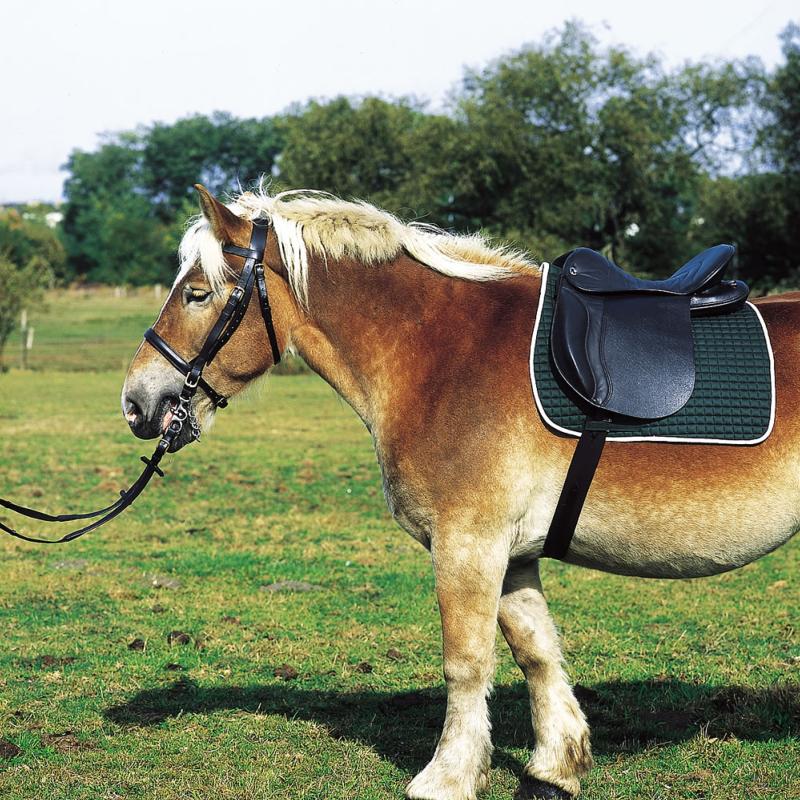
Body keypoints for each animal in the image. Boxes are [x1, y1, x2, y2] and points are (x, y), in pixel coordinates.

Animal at [121, 184, 799, 800]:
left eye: (197, 293)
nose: (136, 402)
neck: (441, 354)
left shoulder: (467, 543)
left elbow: (466, 662)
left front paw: (447, 777)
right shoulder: (512, 553)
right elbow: (536, 652)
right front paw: (555, 768)